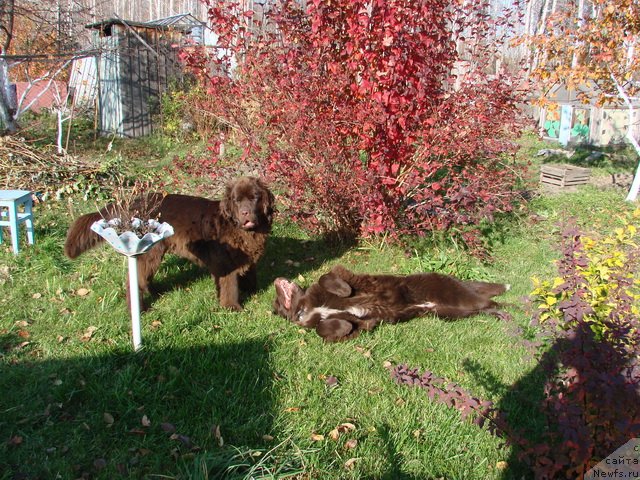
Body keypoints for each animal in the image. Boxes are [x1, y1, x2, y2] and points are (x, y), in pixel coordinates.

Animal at [65, 176, 276, 312]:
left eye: (254, 198)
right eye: (237, 200)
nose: (245, 213)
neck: (242, 229)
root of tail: (133, 203)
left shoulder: (247, 255)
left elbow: (250, 273)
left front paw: (252, 290)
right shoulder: (225, 263)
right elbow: (229, 285)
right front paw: (232, 307)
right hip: (147, 250)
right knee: (134, 280)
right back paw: (139, 309)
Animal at [274, 264, 510, 340]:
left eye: (274, 302)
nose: (276, 279)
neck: (306, 307)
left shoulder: (345, 274)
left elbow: (326, 277)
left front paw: (343, 290)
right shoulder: (362, 326)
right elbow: (324, 328)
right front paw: (343, 326)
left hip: (457, 296)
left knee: (491, 302)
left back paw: (511, 312)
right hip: (451, 313)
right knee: (484, 307)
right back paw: (500, 315)